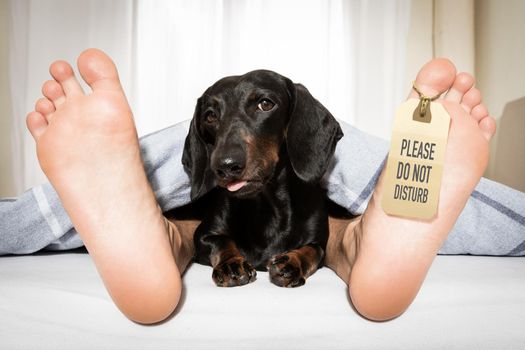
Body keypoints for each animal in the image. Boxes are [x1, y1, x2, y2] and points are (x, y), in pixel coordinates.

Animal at [182, 69, 342, 288]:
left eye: (265, 104)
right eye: (210, 116)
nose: (226, 165)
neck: (266, 205)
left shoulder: (319, 244)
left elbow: (312, 251)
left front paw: (292, 262)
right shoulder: (202, 236)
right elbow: (222, 241)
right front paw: (231, 263)